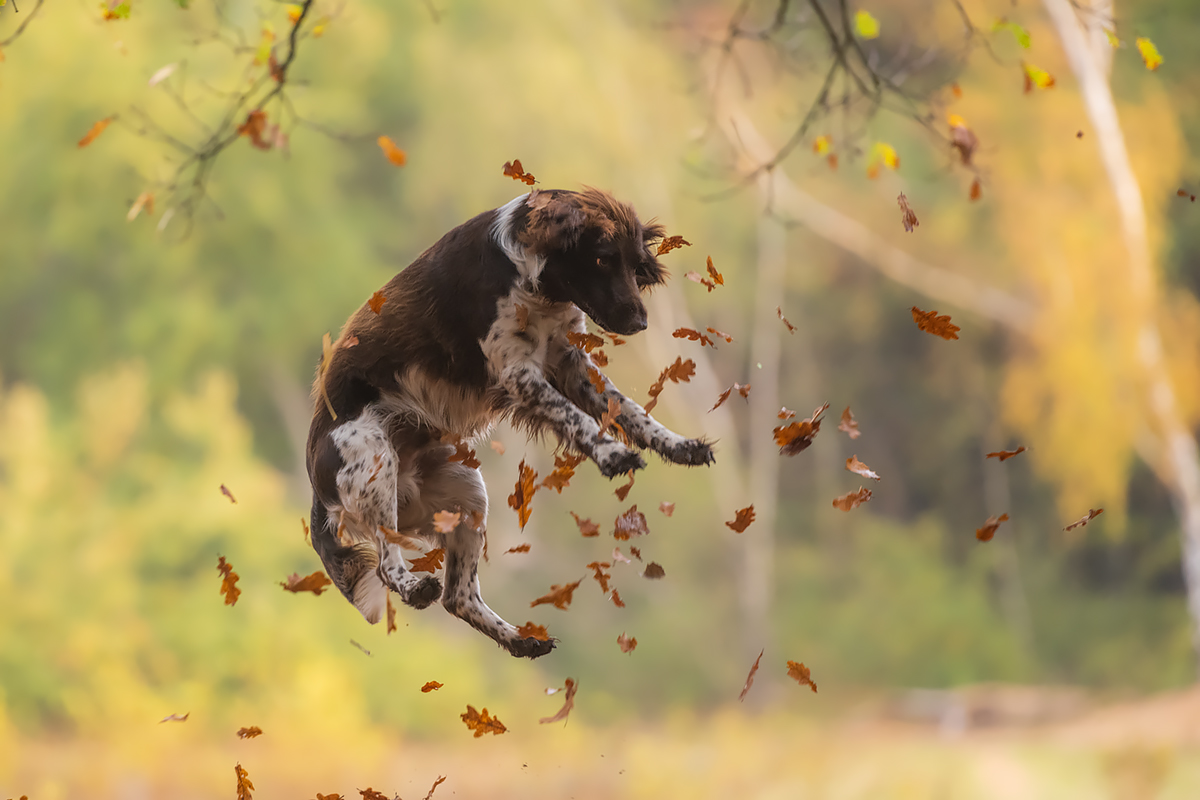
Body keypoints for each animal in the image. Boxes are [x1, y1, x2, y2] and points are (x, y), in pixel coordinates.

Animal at [304, 188, 710, 657]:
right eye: (602, 259)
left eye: (635, 264)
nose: (641, 321)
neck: (531, 281)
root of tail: (317, 493)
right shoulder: (520, 373)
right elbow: (578, 419)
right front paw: (612, 455)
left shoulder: (568, 362)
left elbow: (630, 411)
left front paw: (681, 446)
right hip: (374, 462)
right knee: (390, 567)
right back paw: (416, 587)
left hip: (466, 496)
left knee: (458, 597)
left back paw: (521, 640)